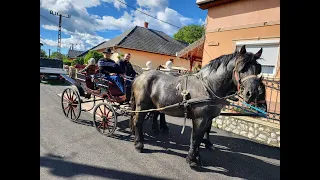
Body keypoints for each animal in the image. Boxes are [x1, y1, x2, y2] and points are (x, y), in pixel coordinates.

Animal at [129, 45, 262, 169]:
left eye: (258, 69)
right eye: (242, 68)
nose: (252, 93)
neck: (208, 85)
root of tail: (139, 77)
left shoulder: (208, 118)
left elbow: (201, 135)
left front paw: (198, 156)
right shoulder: (200, 118)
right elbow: (195, 138)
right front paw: (192, 160)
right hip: (142, 105)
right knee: (137, 121)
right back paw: (139, 144)